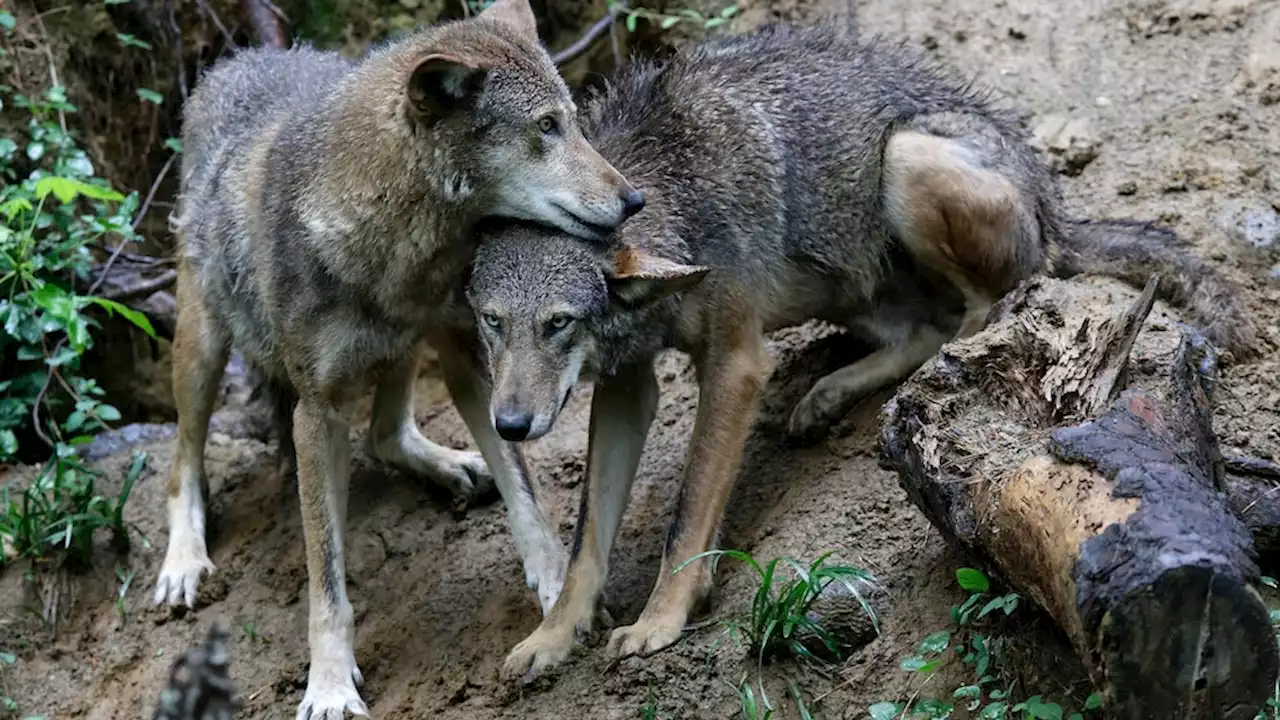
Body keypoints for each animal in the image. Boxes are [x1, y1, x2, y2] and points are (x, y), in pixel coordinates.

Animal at [154, 0, 645, 712]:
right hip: (202, 344)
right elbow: (327, 582)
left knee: (387, 433)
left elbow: (526, 496)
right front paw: (330, 686)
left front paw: (559, 591)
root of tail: (236, 60)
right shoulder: (317, 412)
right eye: (546, 128)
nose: (635, 200)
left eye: (574, 122)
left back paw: (451, 466)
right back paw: (184, 563)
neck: (391, 252)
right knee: (183, 460)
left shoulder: (470, 352)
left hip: (411, 346)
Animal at [463, 20, 1259, 676]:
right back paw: (829, 393)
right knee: (924, 327)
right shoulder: (626, 384)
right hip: (849, 283)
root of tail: (1050, 199)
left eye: (559, 324)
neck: (671, 192)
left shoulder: (736, 362)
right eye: (492, 323)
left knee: (982, 312)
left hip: (906, 161)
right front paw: (553, 637)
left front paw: (660, 620)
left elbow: (686, 517)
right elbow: (584, 544)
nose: (509, 426)